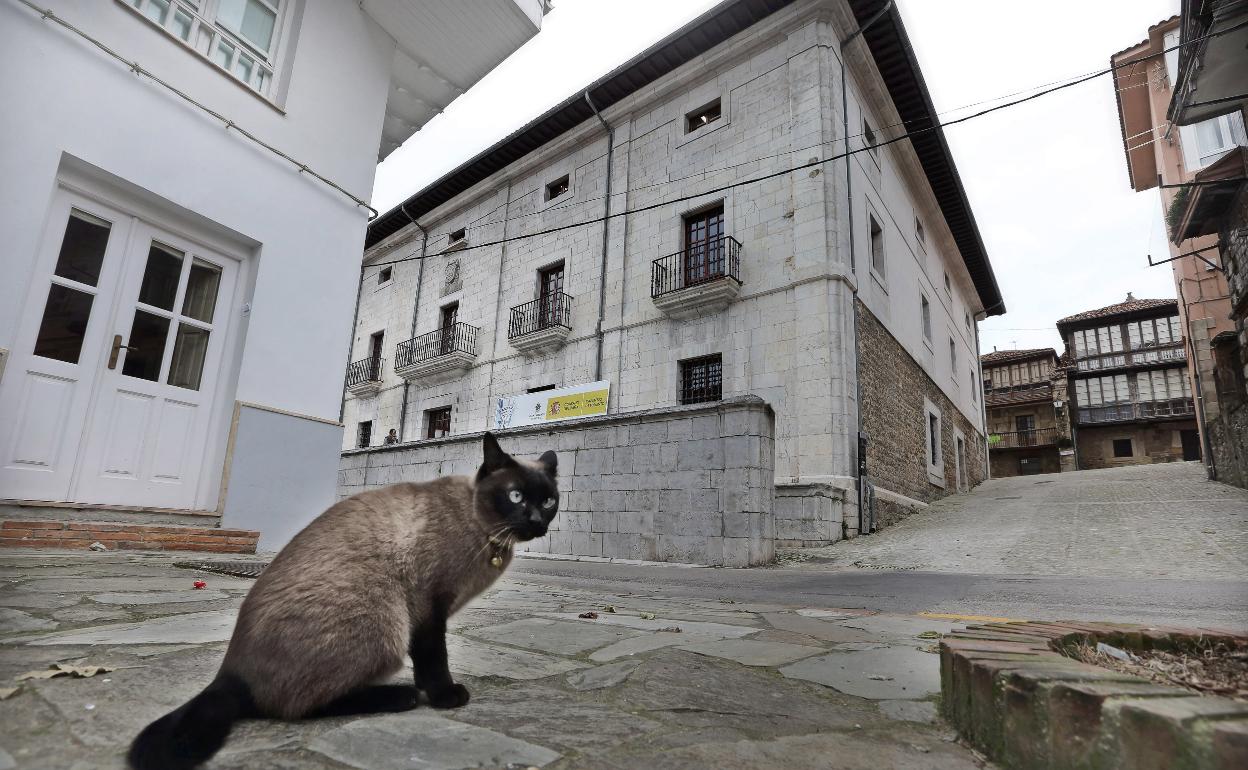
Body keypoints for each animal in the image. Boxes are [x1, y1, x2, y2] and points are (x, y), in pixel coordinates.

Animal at [129, 431, 559, 768]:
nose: (537, 522)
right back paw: (400, 696)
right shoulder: (427, 607)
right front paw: (444, 696)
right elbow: (434, 657)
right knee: (294, 707)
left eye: (549, 501)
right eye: (515, 496)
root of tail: (228, 673)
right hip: (383, 620)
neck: (487, 534)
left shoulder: (431, 610)